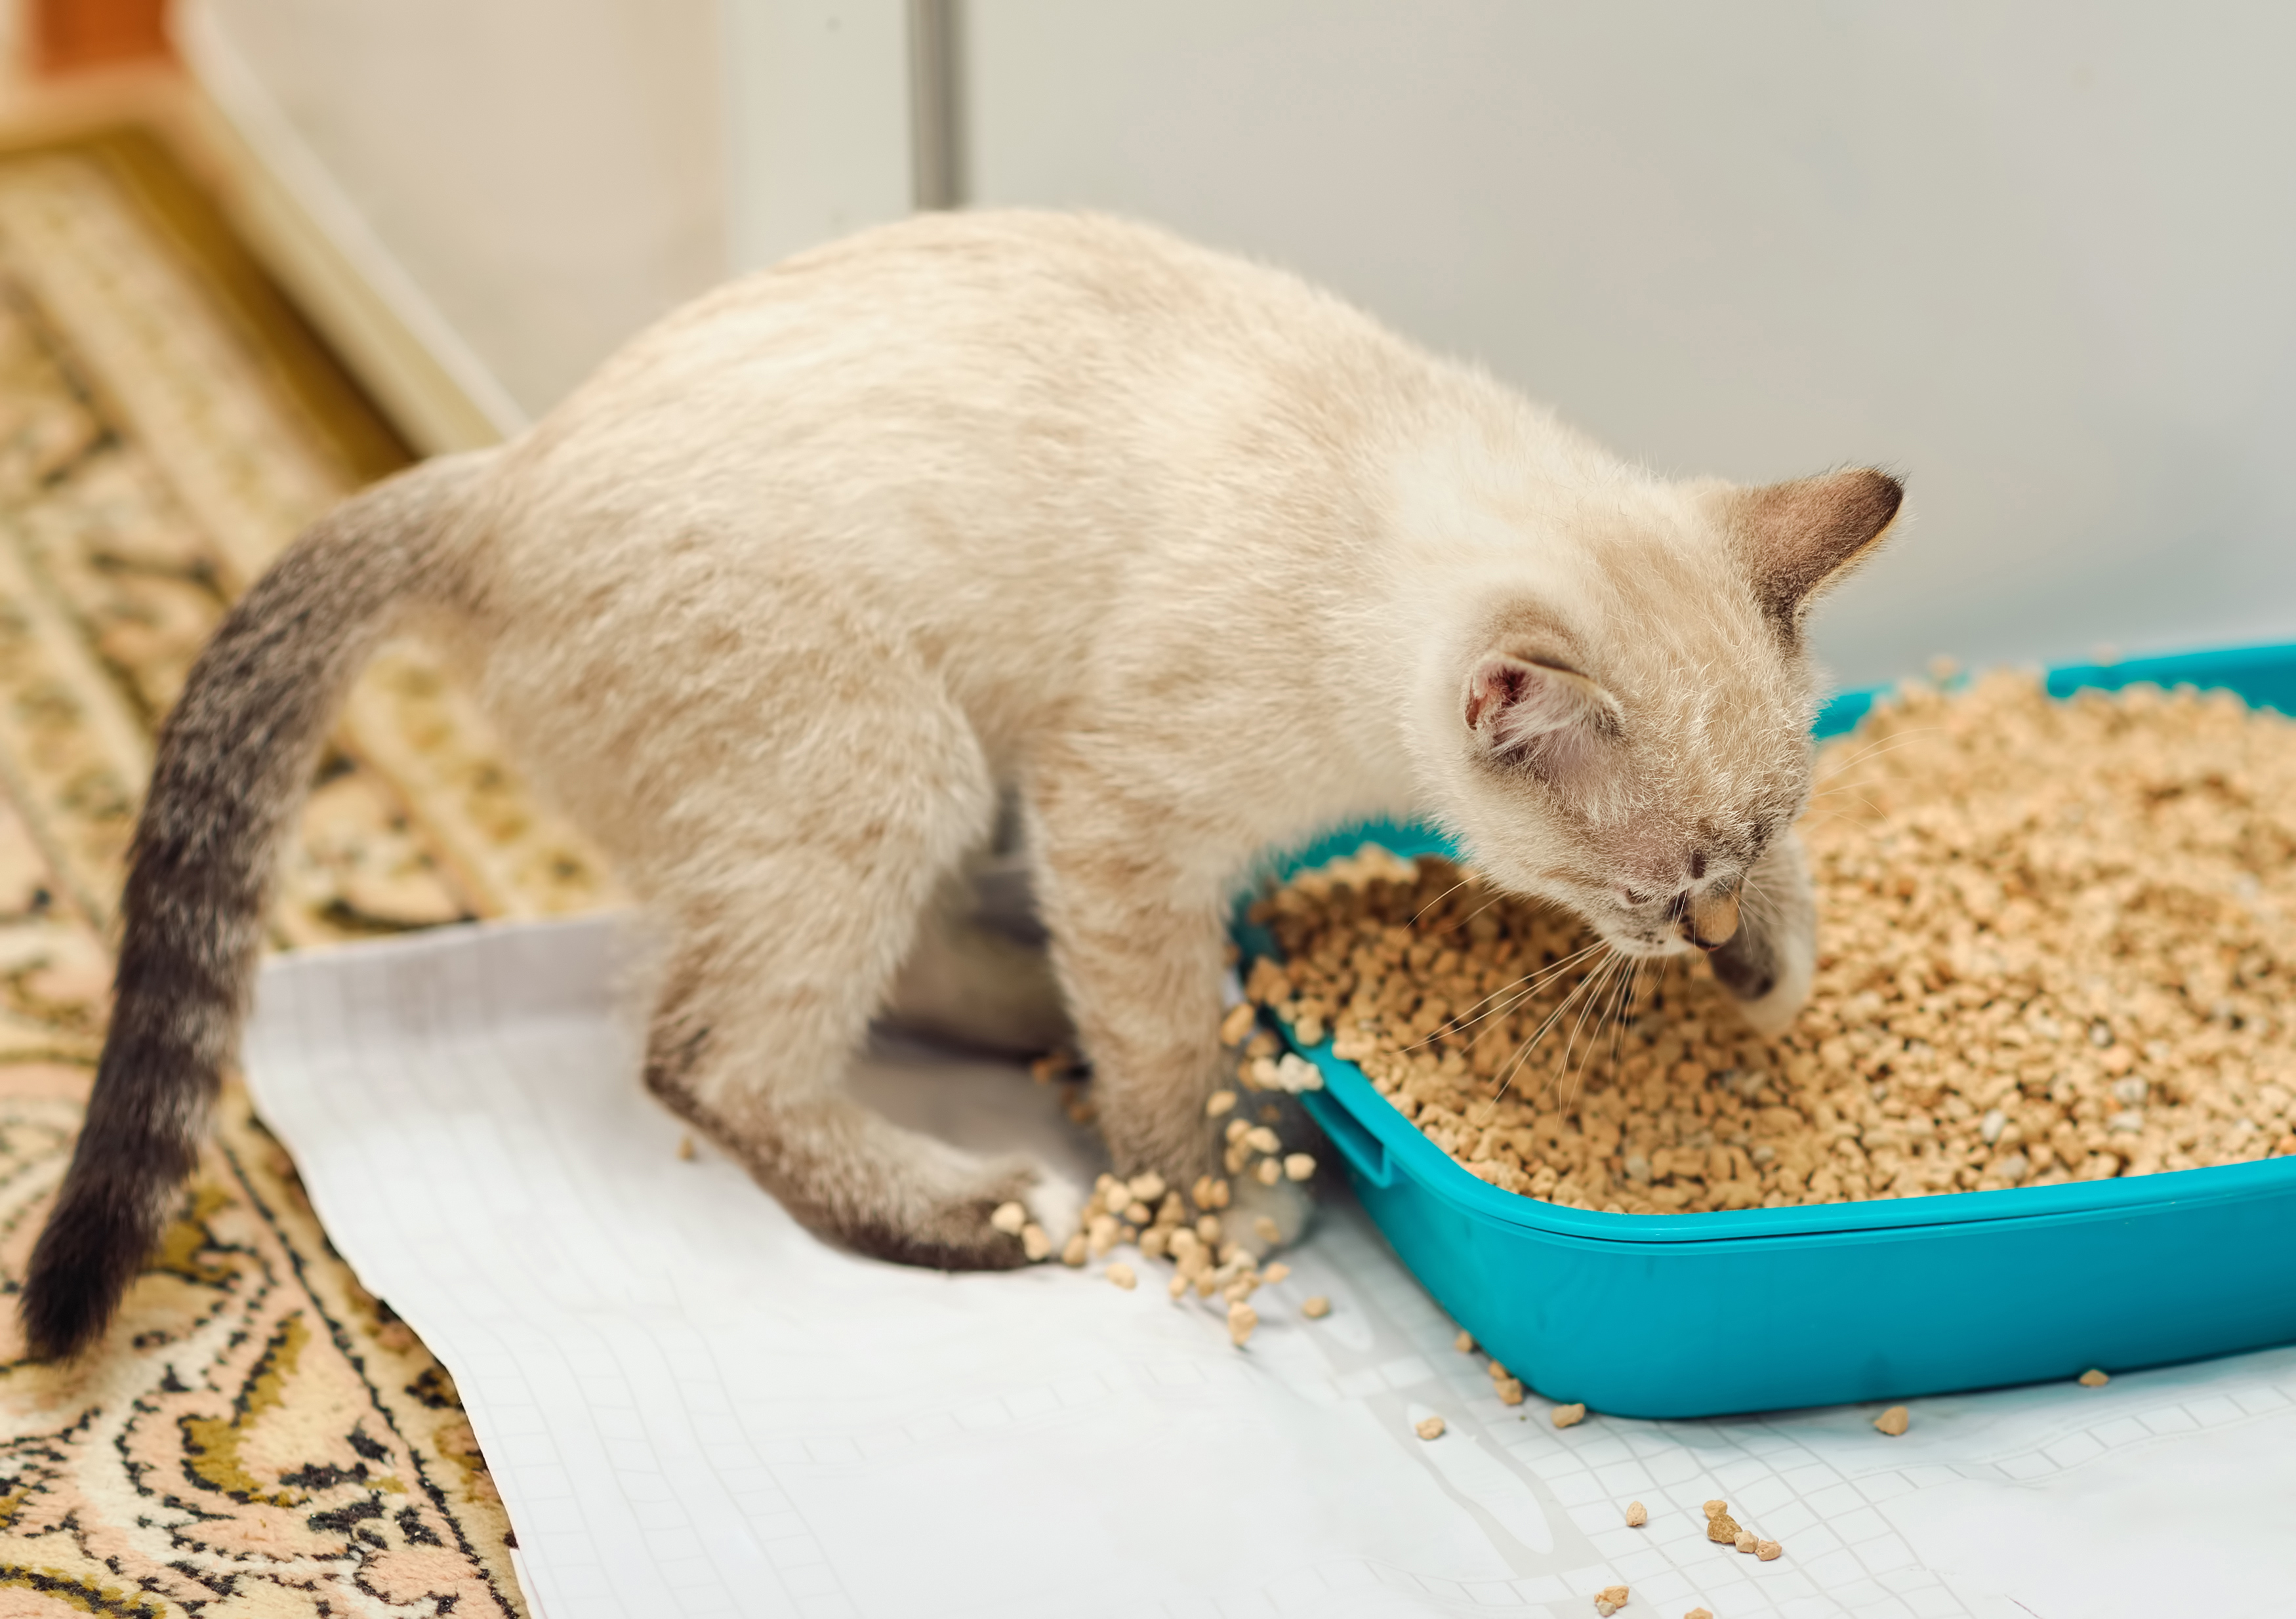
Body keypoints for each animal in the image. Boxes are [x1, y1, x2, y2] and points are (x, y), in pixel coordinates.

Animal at [18, 211, 1901, 1350]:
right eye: (1646, 888)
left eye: (1747, 848)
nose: (1707, 935)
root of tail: (496, 475)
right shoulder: (1120, 817)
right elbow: (1157, 1035)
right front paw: (1206, 1192)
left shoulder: (1092, 823)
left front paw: (1780, 967)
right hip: (895, 752)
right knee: (707, 1053)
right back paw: (984, 1196)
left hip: (896, 780)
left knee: (883, 973)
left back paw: (1059, 1033)